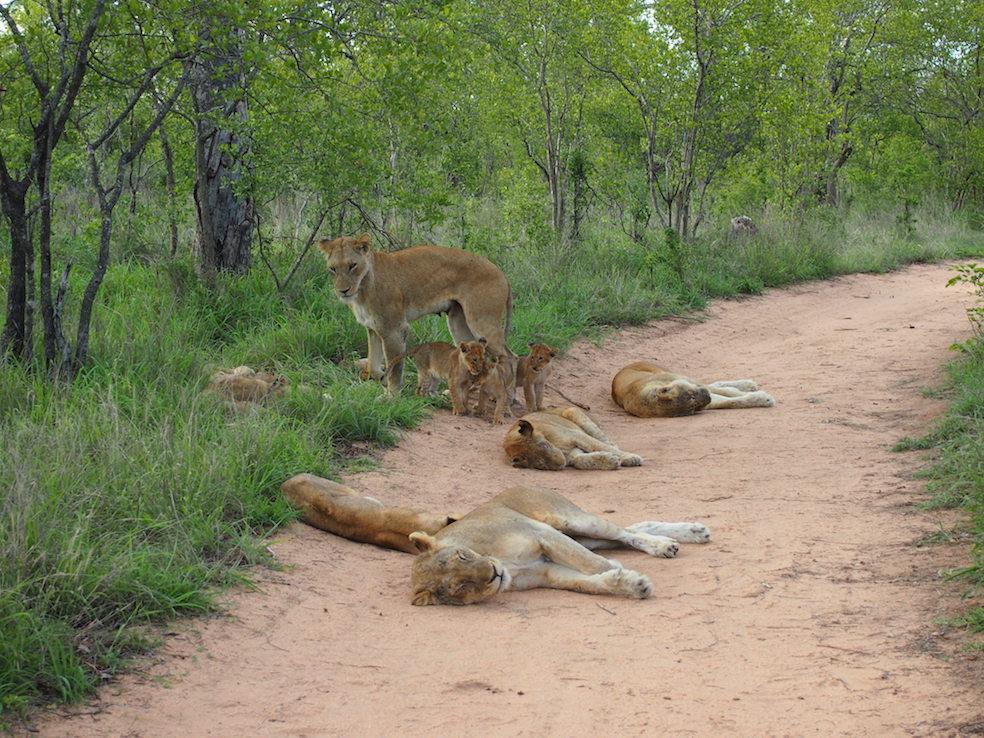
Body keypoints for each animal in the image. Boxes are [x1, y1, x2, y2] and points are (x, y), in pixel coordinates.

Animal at [320, 234, 516, 394]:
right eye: (333, 269)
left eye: (352, 266)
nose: (343, 291)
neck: (362, 290)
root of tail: (503, 275)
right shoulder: (373, 328)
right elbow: (373, 365)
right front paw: (382, 380)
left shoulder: (394, 329)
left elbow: (395, 367)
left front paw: (391, 396)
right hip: (459, 323)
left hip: (481, 320)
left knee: (510, 357)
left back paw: (507, 395)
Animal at [504, 406, 640, 468]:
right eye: (541, 465)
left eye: (545, 445)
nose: (561, 463)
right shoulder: (572, 454)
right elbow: (581, 461)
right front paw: (611, 460)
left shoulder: (576, 435)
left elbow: (601, 446)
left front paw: (631, 458)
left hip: (573, 411)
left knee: (607, 441)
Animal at [608, 360, 776, 416]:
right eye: (694, 407)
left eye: (692, 395)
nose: (707, 397)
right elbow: (731, 401)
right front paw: (764, 399)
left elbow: (728, 393)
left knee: (714, 385)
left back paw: (747, 384)